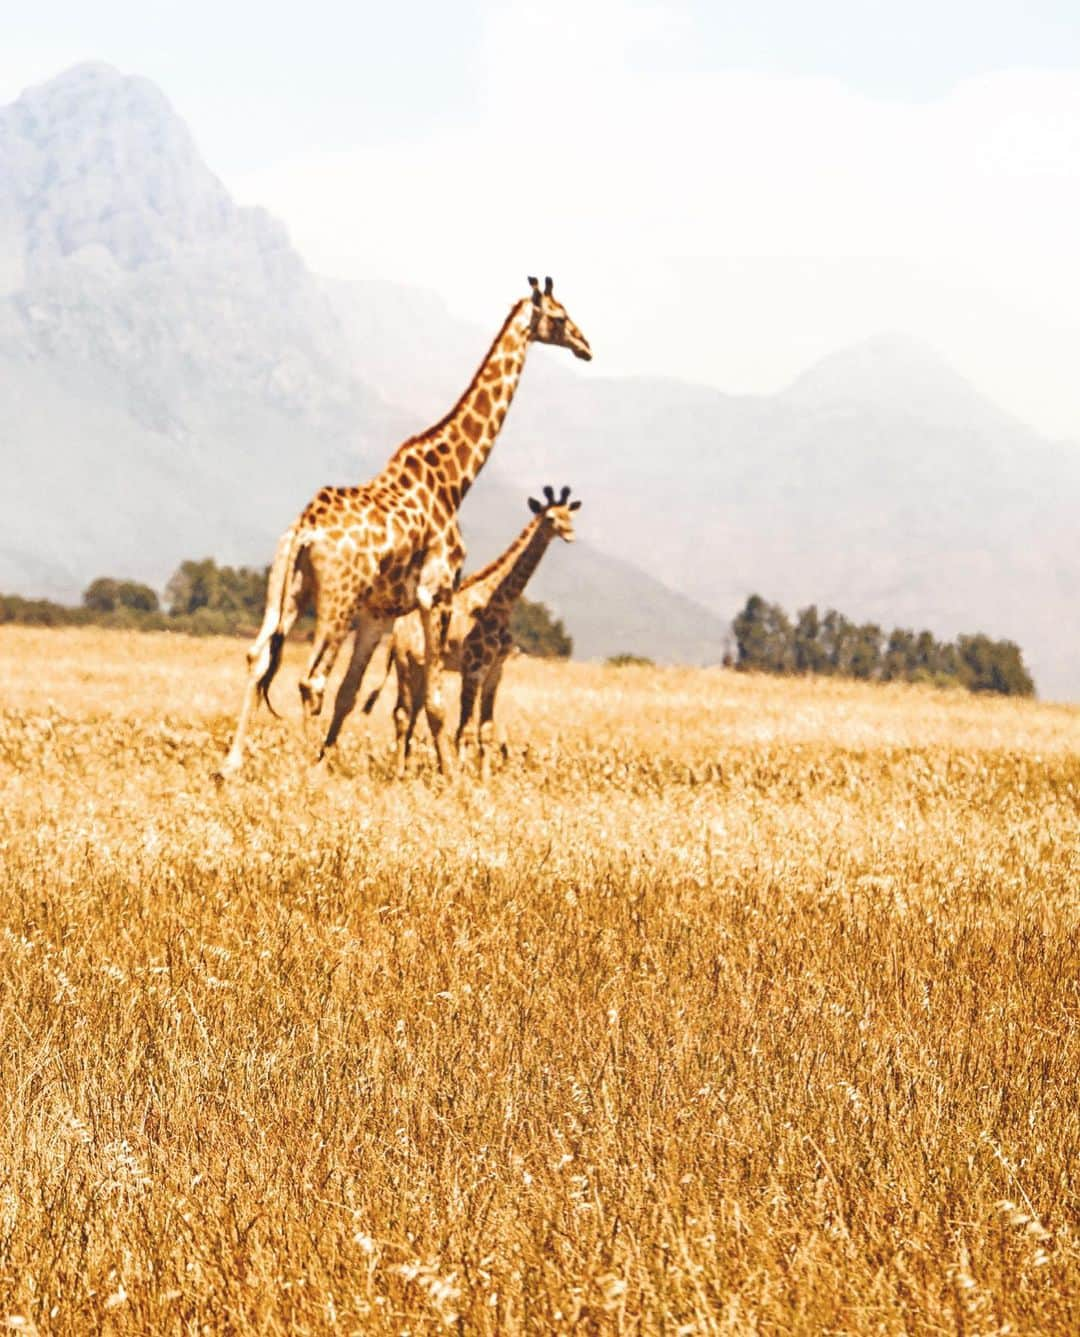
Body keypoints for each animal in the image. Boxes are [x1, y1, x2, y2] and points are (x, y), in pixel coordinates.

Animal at [363, 486, 582, 780]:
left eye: (569, 515)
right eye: (550, 518)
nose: (570, 534)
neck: (499, 603)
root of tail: (397, 631)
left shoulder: (495, 671)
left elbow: (485, 729)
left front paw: (484, 776)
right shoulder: (473, 668)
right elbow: (464, 730)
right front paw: (463, 772)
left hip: (422, 670)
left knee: (414, 715)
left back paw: (408, 769)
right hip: (405, 666)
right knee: (402, 714)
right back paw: (399, 771)